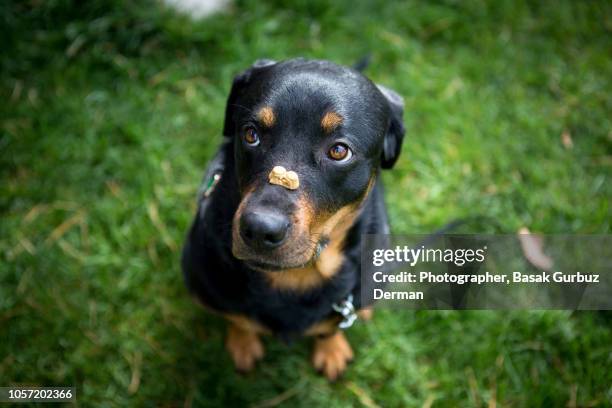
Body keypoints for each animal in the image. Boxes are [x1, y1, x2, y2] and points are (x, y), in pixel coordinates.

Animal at [182, 57, 406, 380]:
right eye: (251, 134)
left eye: (339, 151)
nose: (260, 229)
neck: (293, 279)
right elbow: (236, 318)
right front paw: (243, 344)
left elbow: (330, 326)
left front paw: (331, 349)